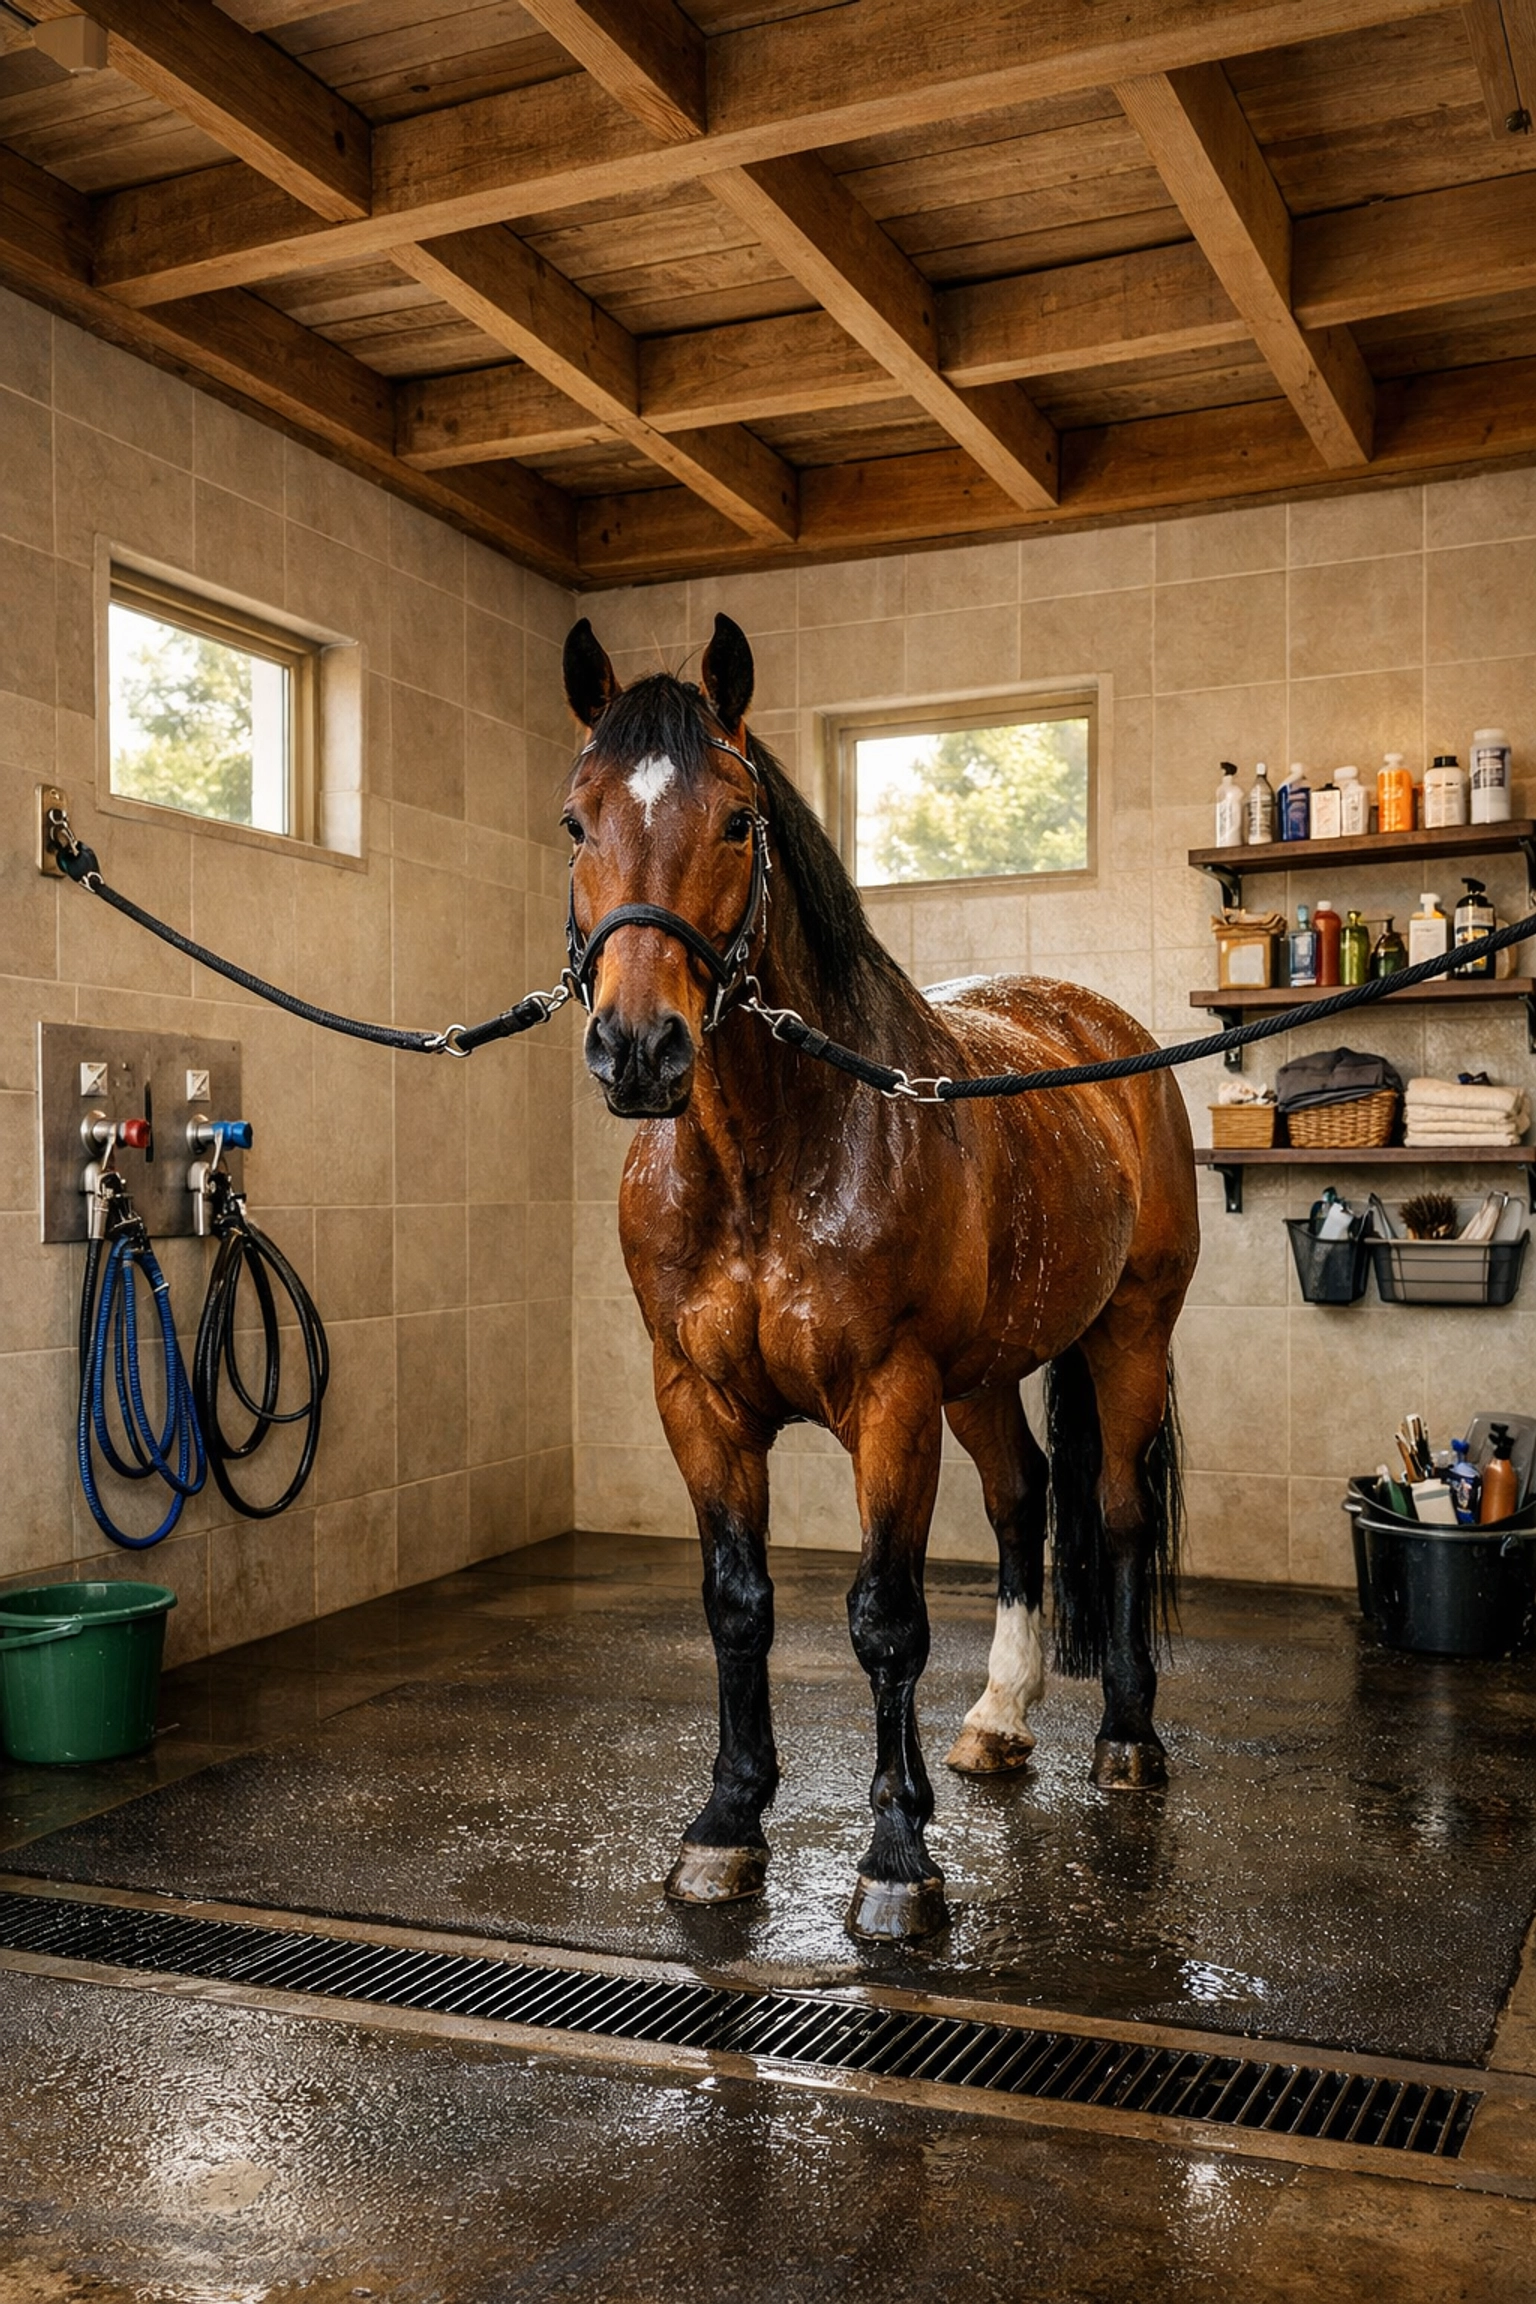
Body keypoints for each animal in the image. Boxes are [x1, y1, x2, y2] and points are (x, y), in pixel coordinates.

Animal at [560, 611, 1201, 1943]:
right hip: (985, 1376)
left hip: (1129, 1332)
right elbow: (738, 1603)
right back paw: (998, 1720)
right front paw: (725, 1826)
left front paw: (898, 1859)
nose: (639, 1051)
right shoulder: (696, 1401)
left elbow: (884, 1619)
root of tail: (1106, 1034)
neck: (769, 1156)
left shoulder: (892, 1398)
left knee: (1113, 1511)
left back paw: (1126, 1735)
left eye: (736, 820)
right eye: (576, 821)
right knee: (1021, 1502)